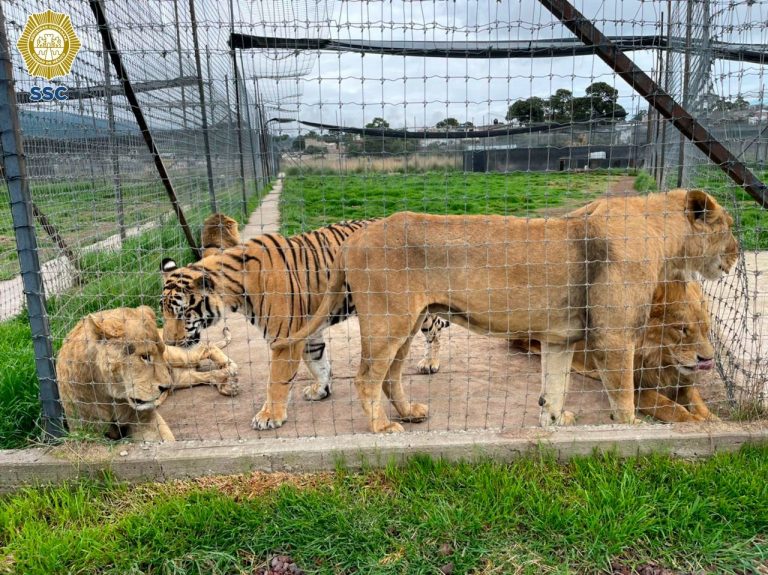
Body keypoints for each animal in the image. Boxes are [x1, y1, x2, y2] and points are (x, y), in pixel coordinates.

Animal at [57, 308, 238, 444]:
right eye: (144, 356)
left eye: (159, 353)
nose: (165, 386)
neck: (109, 396)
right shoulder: (85, 432)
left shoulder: (145, 420)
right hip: (180, 378)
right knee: (201, 374)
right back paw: (227, 383)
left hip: (176, 354)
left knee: (206, 346)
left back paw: (230, 369)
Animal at [162, 220, 450, 432]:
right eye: (164, 311)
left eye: (183, 312)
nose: (167, 343)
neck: (237, 291)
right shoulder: (309, 332)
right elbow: (318, 362)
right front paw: (320, 390)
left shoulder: (284, 338)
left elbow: (277, 380)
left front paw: (269, 416)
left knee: (435, 330)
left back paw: (430, 362)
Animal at [274, 189, 736, 432]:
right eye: (729, 227)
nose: (736, 255)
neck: (664, 237)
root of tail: (355, 238)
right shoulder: (614, 339)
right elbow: (623, 398)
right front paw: (630, 431)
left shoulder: (561, 338)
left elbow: (555, 385)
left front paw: (555, 421)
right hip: (389, 323)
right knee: (367, 379)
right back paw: (382, 427)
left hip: (406, 325)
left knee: (389, 378)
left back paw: (408, 413)